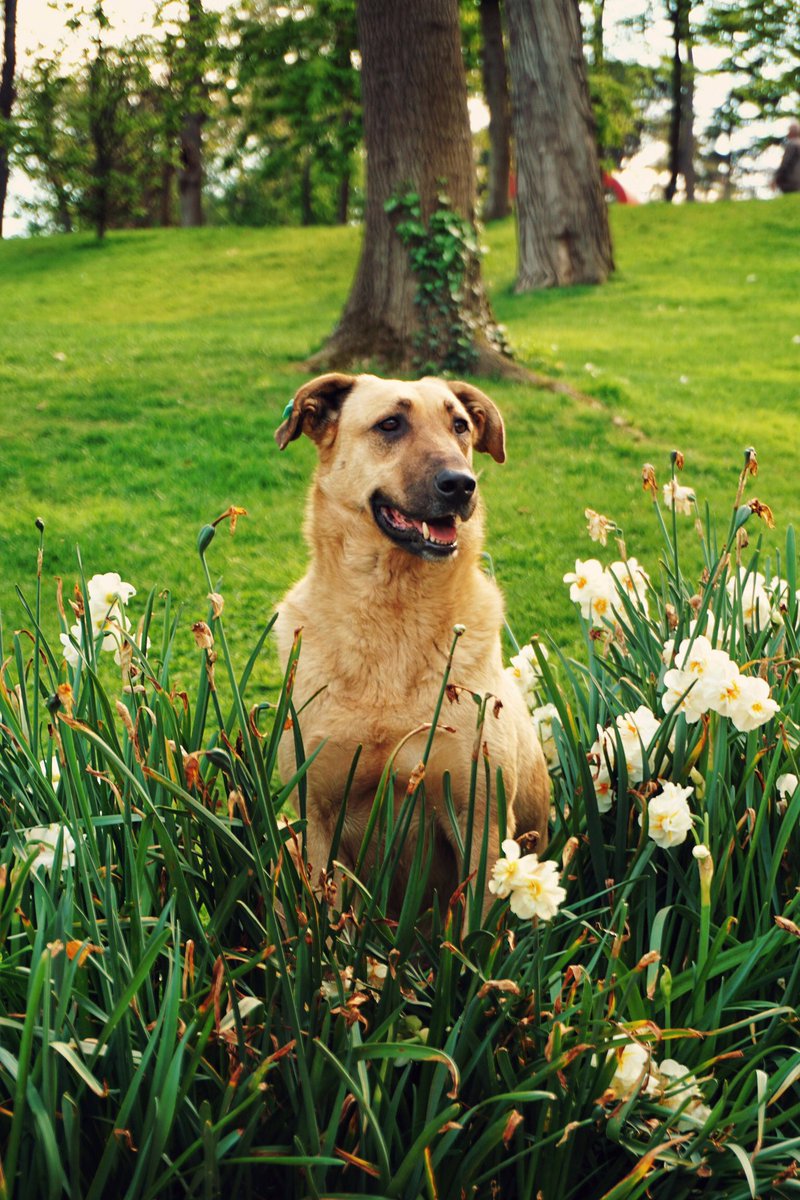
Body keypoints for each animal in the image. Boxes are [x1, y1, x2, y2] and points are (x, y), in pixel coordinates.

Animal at [275, 372, 551, 907]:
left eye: (460, 426)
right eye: (390, 424)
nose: (461, 484)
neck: (394, 615)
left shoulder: (482, 823)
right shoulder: (316, 821)